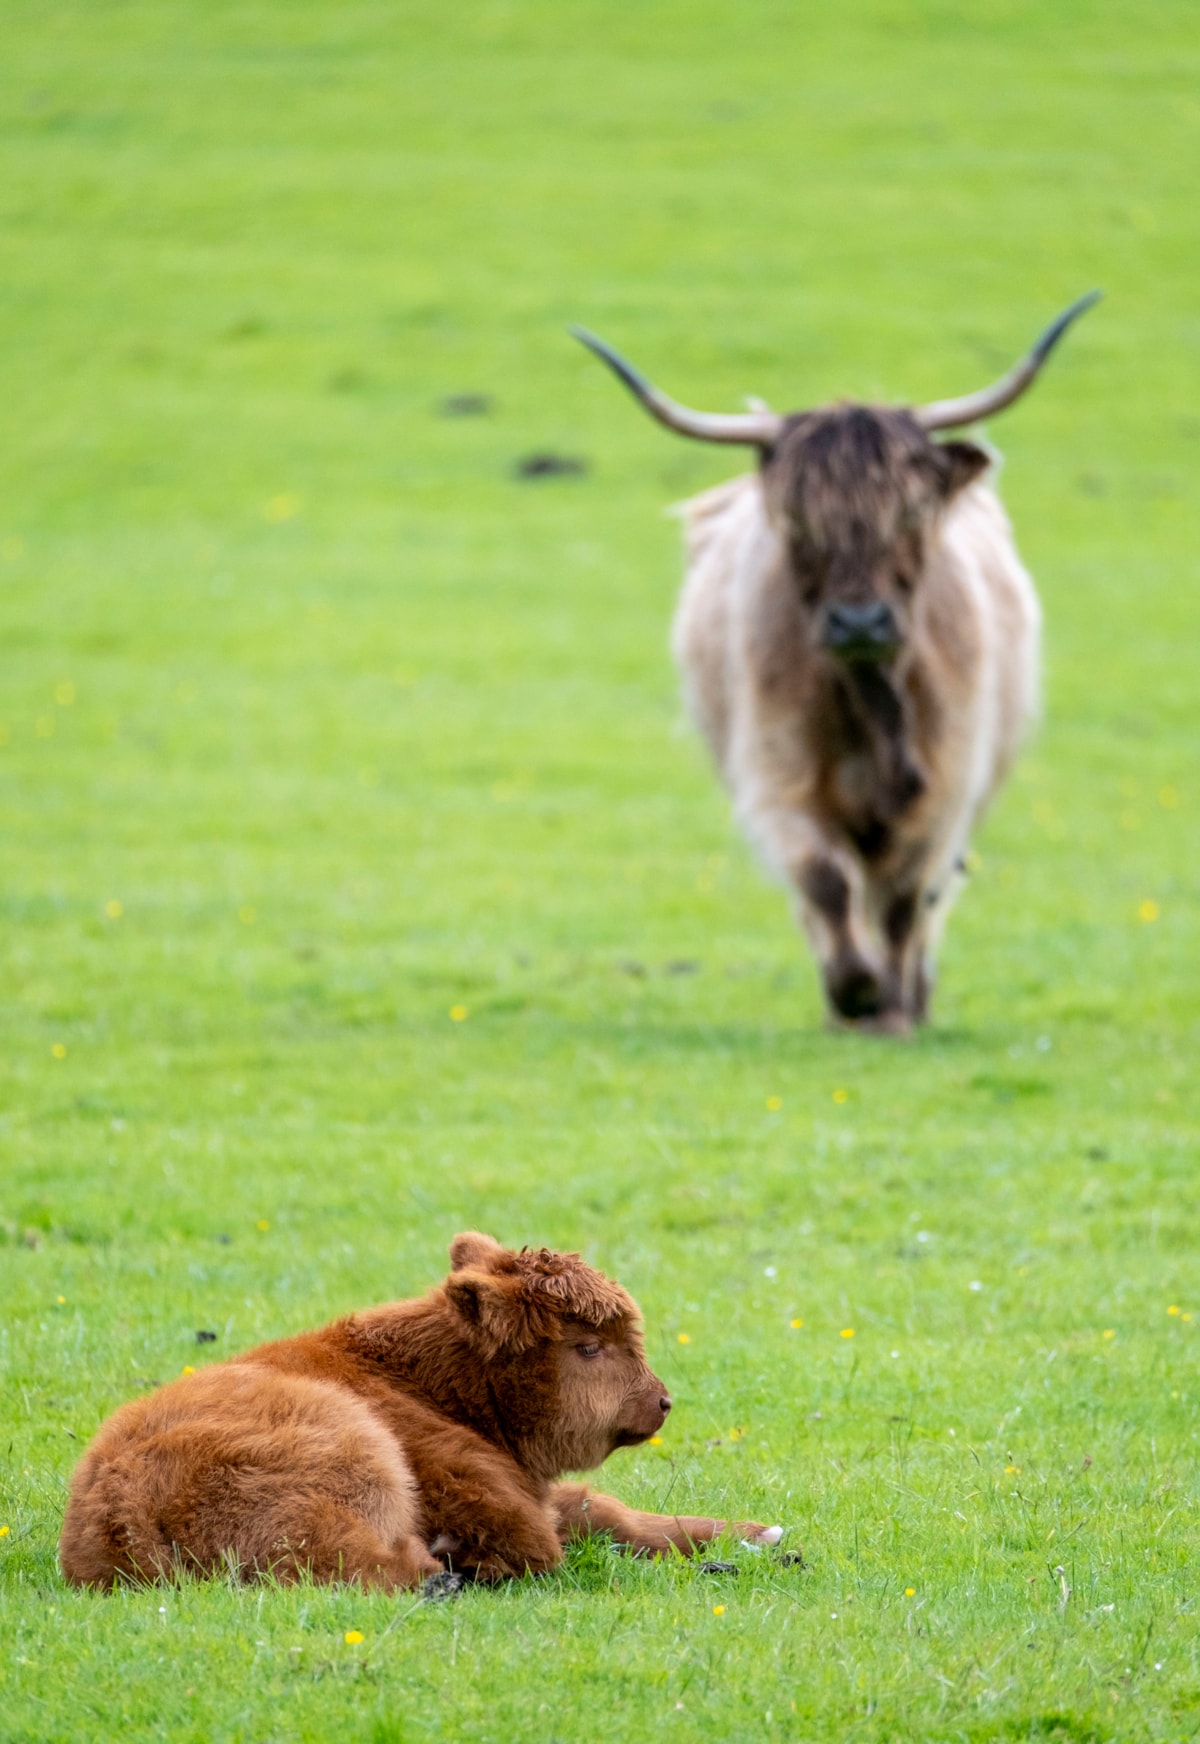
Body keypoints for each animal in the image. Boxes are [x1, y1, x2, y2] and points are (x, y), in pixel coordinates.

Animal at [572, 294, 1099, 1031]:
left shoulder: (947, 786)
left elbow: (907, 899)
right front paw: (856, 992)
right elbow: (822, 879)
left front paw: (898, 1007)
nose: (859, 622)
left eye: (911, 511)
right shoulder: (776, 777)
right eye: (796, 520)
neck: (875, 706)